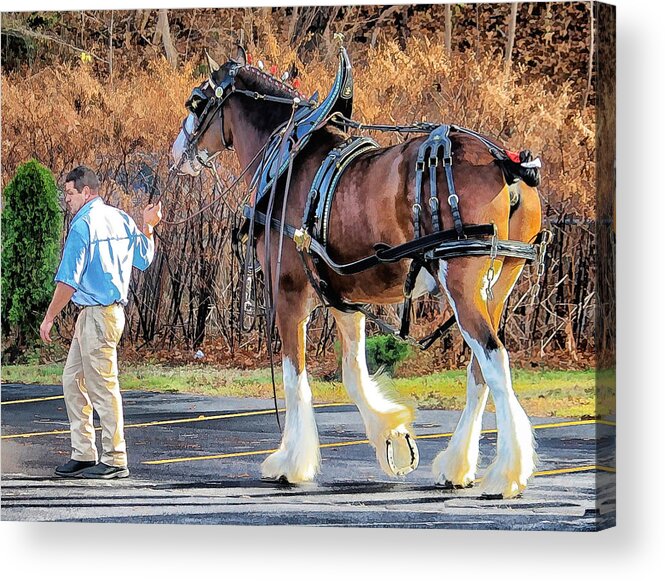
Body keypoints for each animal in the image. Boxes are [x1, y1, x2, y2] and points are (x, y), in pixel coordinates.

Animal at [171, 46, 544, 498]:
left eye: (196, 101)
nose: (177, 151)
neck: (290, 159)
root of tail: (505, 164)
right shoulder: (343, 298)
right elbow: (352, 374)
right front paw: (393, 438)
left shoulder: (288, 292)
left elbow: (295, 375)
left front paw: (291, 462)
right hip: (497, 286)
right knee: (480, 369)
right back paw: (458, 465)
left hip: (463, 285)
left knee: (494, 360)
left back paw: (506, 472)